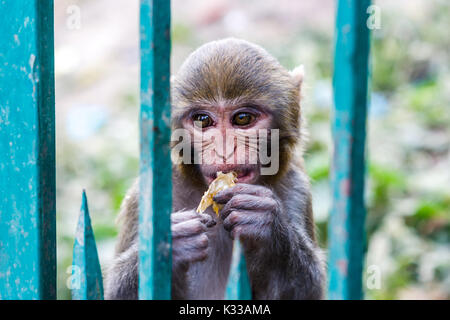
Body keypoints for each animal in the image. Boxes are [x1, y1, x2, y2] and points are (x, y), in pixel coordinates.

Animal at [103, 37, 326, 300]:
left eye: (242, 118)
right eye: (203, 120)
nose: (224, 150)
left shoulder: (296, 188)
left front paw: (267, 228)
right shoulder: (145, 195)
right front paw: (170, 243)